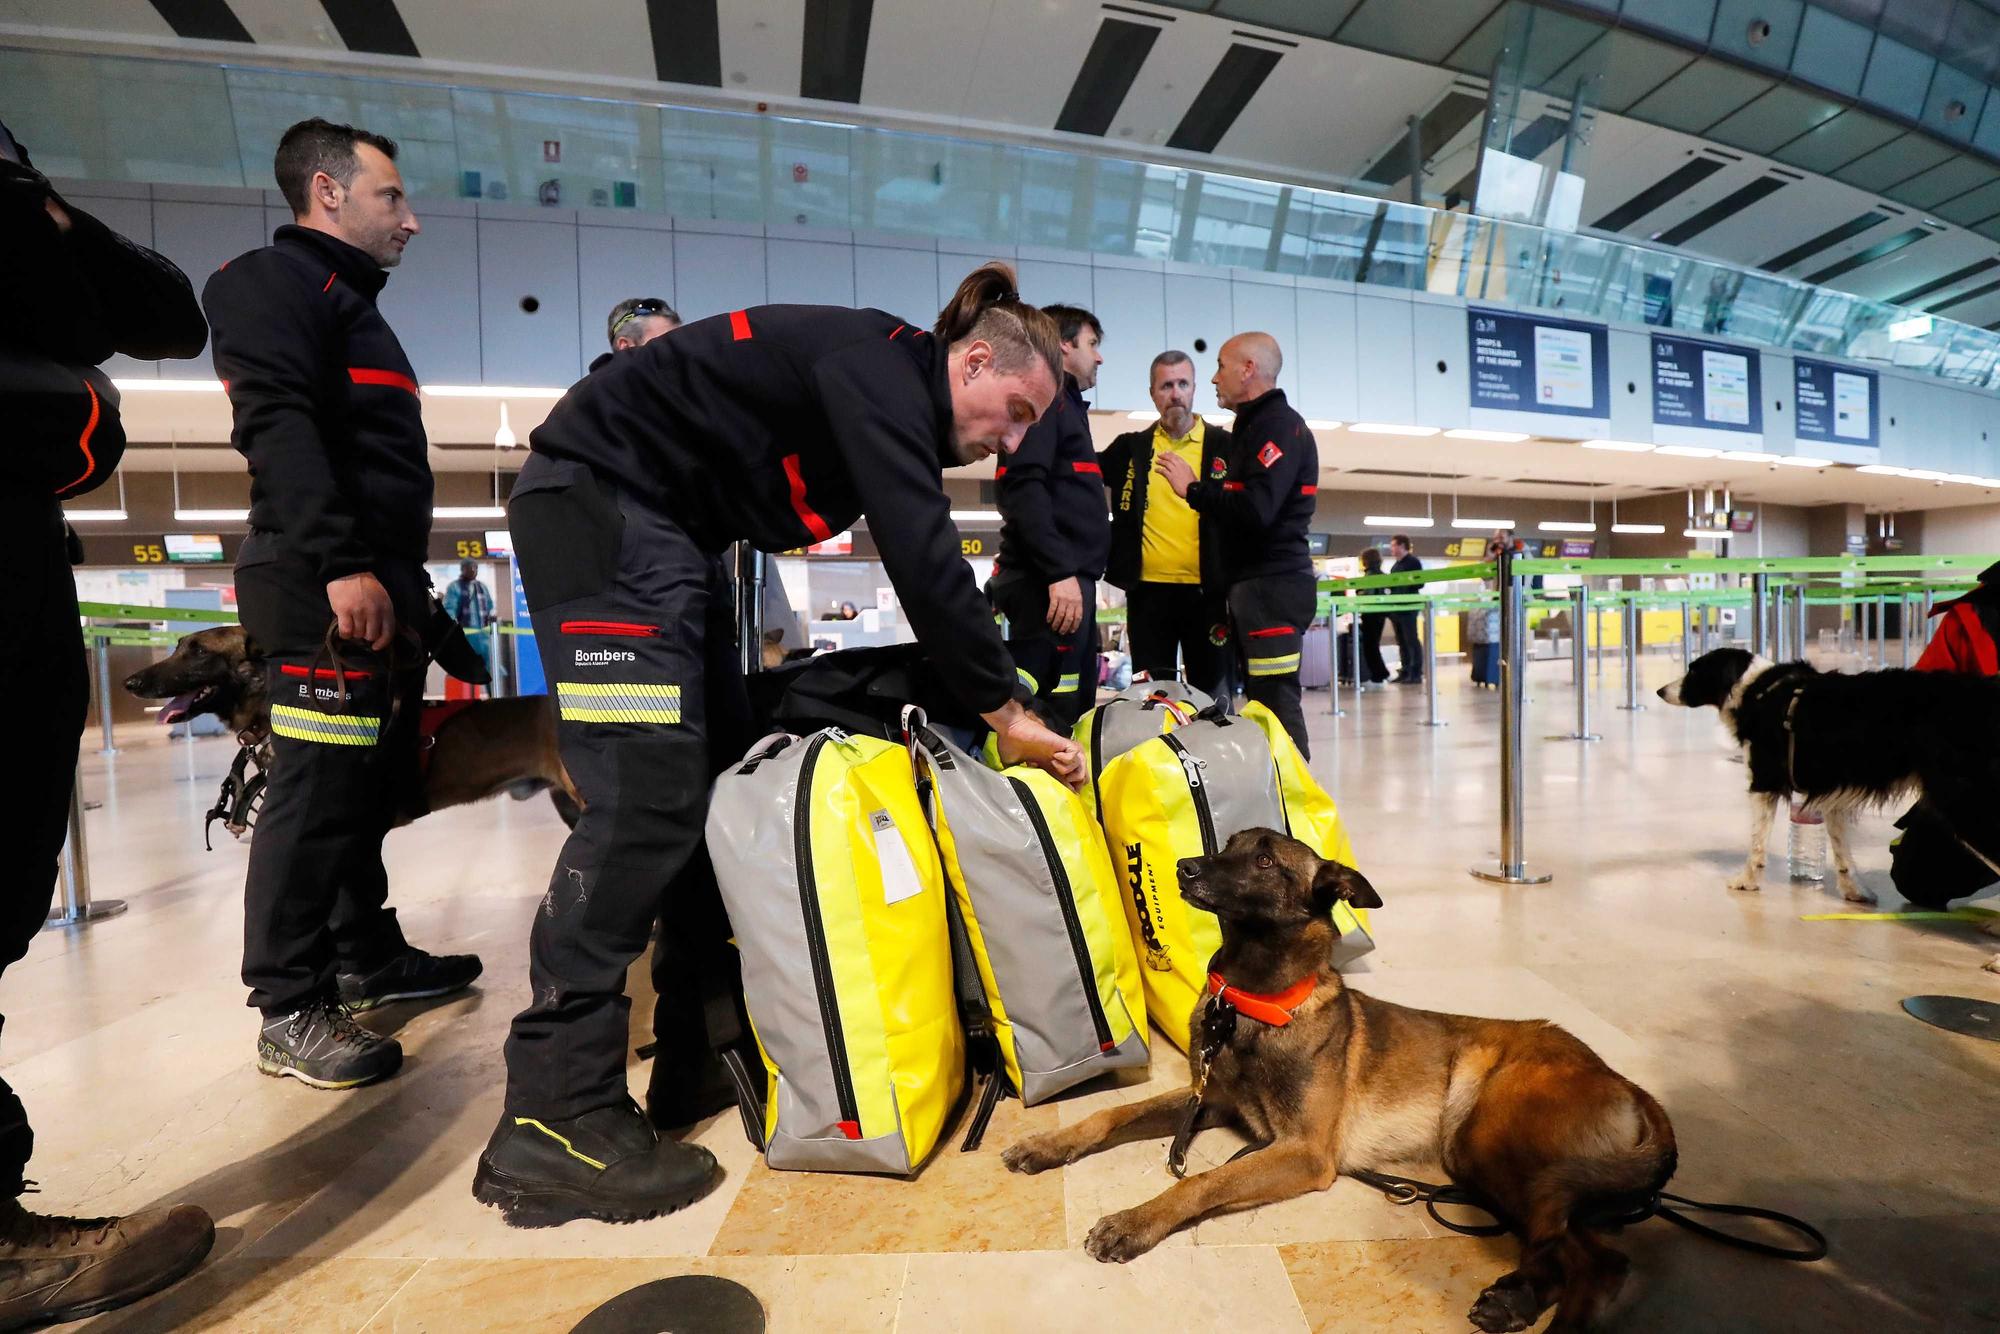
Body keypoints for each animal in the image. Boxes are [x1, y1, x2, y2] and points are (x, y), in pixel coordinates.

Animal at [1000, 828, 1672, 1328]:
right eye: (1228, 845)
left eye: (1265, 860)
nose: (1184, 866)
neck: (1253, 1005)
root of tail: (1623, 1081)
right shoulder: (1209, 1101)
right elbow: (1109, 1113)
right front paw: (1046, 1144)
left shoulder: (1303, 1152)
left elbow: (1204, 1183)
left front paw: (1133, 1222)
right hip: (1496, 1165)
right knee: (1555, 1245)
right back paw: (1515, 1297)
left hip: (1493, 1142)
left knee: (1598, 1262)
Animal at [1656, 648, 2000, 920]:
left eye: (1693, 670)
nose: (1660, 691)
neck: (1755, 690)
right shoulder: (1833, 792)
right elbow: (1841, 850)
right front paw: (1854, 890)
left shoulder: (1764, 783)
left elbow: (1757, 842)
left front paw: (1746, 880)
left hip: (1965, 804)